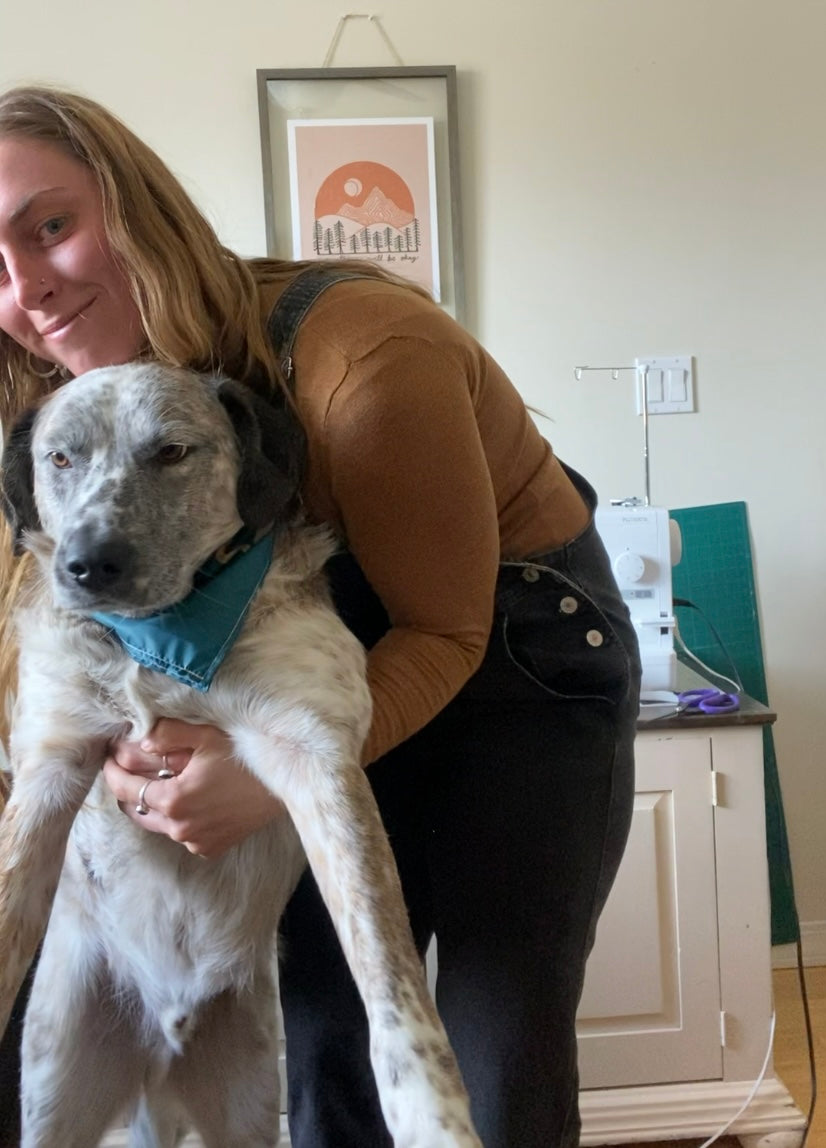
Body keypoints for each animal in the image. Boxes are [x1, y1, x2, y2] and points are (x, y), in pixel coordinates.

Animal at [0, 360, 481, 1148]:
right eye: (60, 459)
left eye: (170, 452)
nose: (87, 565)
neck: (164, 642)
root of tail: (159, 1056)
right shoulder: (49, 768)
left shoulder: (316, 752)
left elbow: (393, 984)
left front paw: (434, 1121)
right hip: (56, 1094)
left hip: (248, 1100)